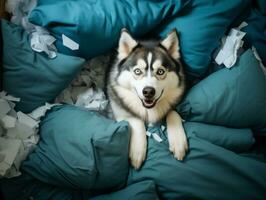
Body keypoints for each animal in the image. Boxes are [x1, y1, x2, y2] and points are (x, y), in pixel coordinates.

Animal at [105, 28, 187, 169]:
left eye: (160, 71)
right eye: (137, 71)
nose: (148, 91)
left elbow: (173, 112)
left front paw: (178, 141)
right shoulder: (119, 111)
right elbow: (137, 120)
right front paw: (138, 151)